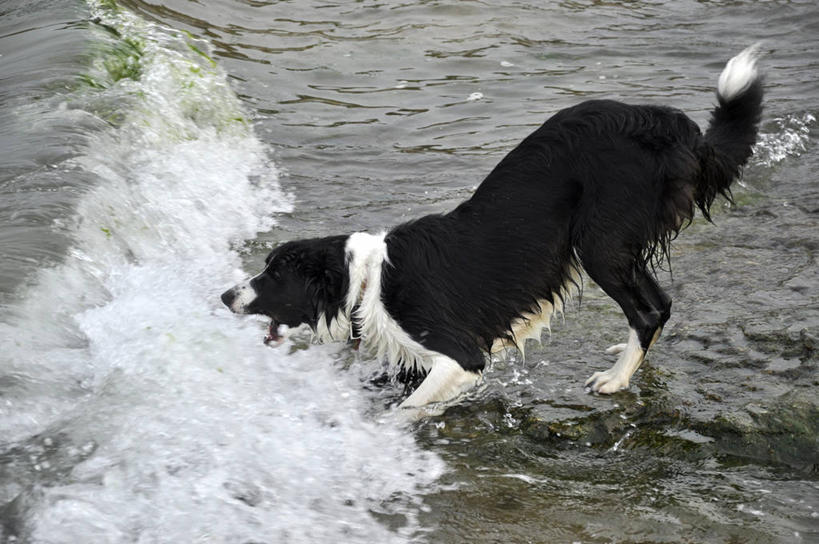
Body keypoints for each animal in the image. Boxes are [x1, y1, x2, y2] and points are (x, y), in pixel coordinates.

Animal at [223, 44, 764, 408]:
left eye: (274, 274)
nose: (225, 296)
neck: (365, 282)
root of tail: (675, 129)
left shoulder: (460, 356)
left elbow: (409, 408)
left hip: (598, 243)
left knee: (648, 310)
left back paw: (614, 378)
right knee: (659, 304)